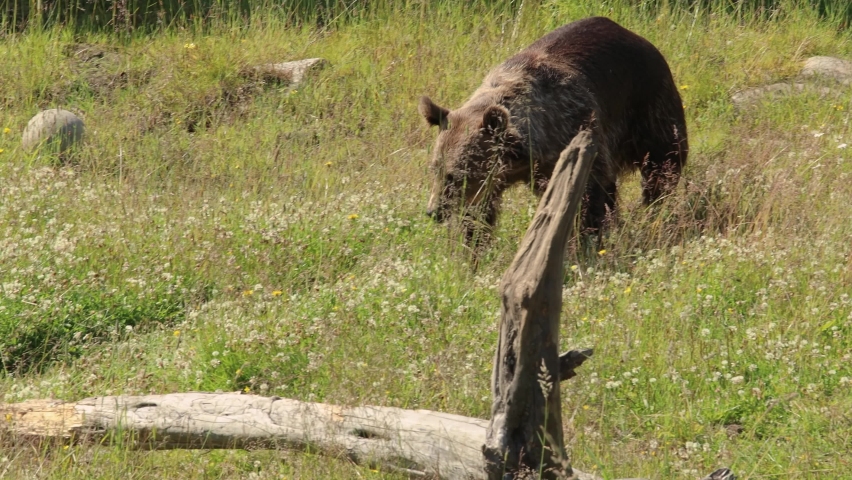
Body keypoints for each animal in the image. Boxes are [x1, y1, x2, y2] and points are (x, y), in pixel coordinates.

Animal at [419, 16, 688, 244]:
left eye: (455, 176)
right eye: (435, 169)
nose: (434, 211)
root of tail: (638, 37)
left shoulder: (576, 131)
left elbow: (589, 195)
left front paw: (585, 241)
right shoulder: (498, 177)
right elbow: (480, 212)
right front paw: (473, 249)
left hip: (649, 107)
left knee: (662, 166)